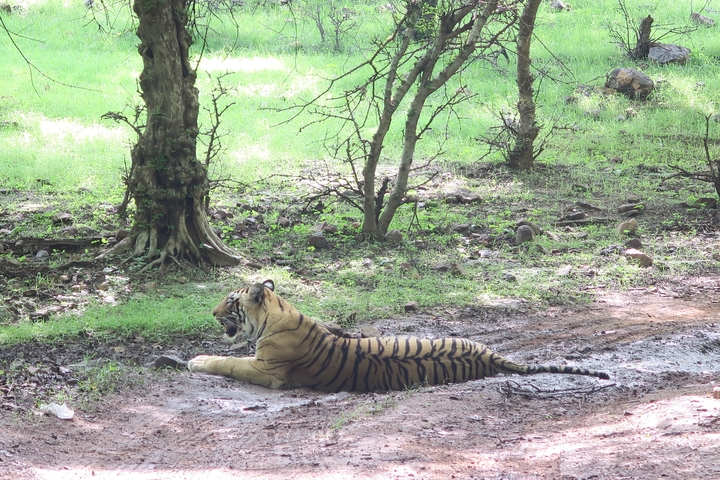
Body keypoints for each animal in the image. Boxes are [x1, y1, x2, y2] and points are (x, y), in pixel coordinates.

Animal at [187, 280, 610, 392]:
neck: (279, 312)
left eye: (230, 301)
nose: (211, 313)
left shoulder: (267, 370)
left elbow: (229, 363)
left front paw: (197, 360)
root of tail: (491, 357)